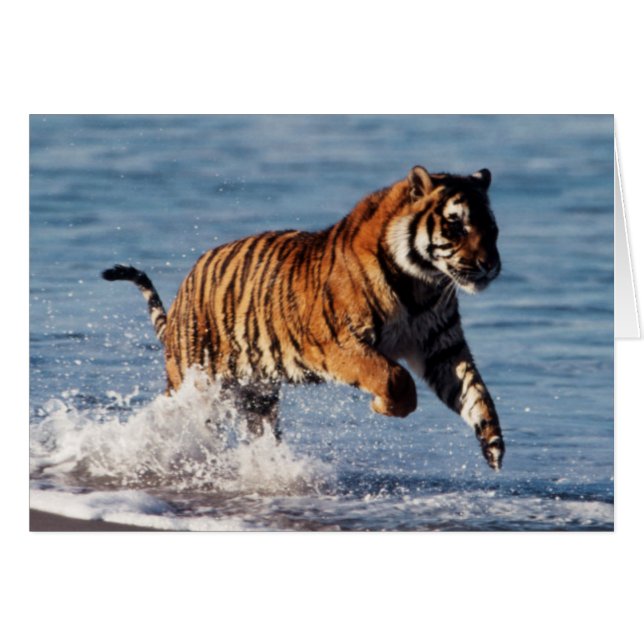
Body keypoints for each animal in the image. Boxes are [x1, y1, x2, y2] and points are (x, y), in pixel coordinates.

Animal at [103, 165, 505, 470]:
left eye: (492, 228)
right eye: (456, 225)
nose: (490, 266)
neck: (422, 284)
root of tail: (185, 288)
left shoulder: (442, 347)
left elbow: (475, 391)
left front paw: (493, 444)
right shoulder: (341, 343)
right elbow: (394, 378)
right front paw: (384, 406)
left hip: (256, 396)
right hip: (196, 383)